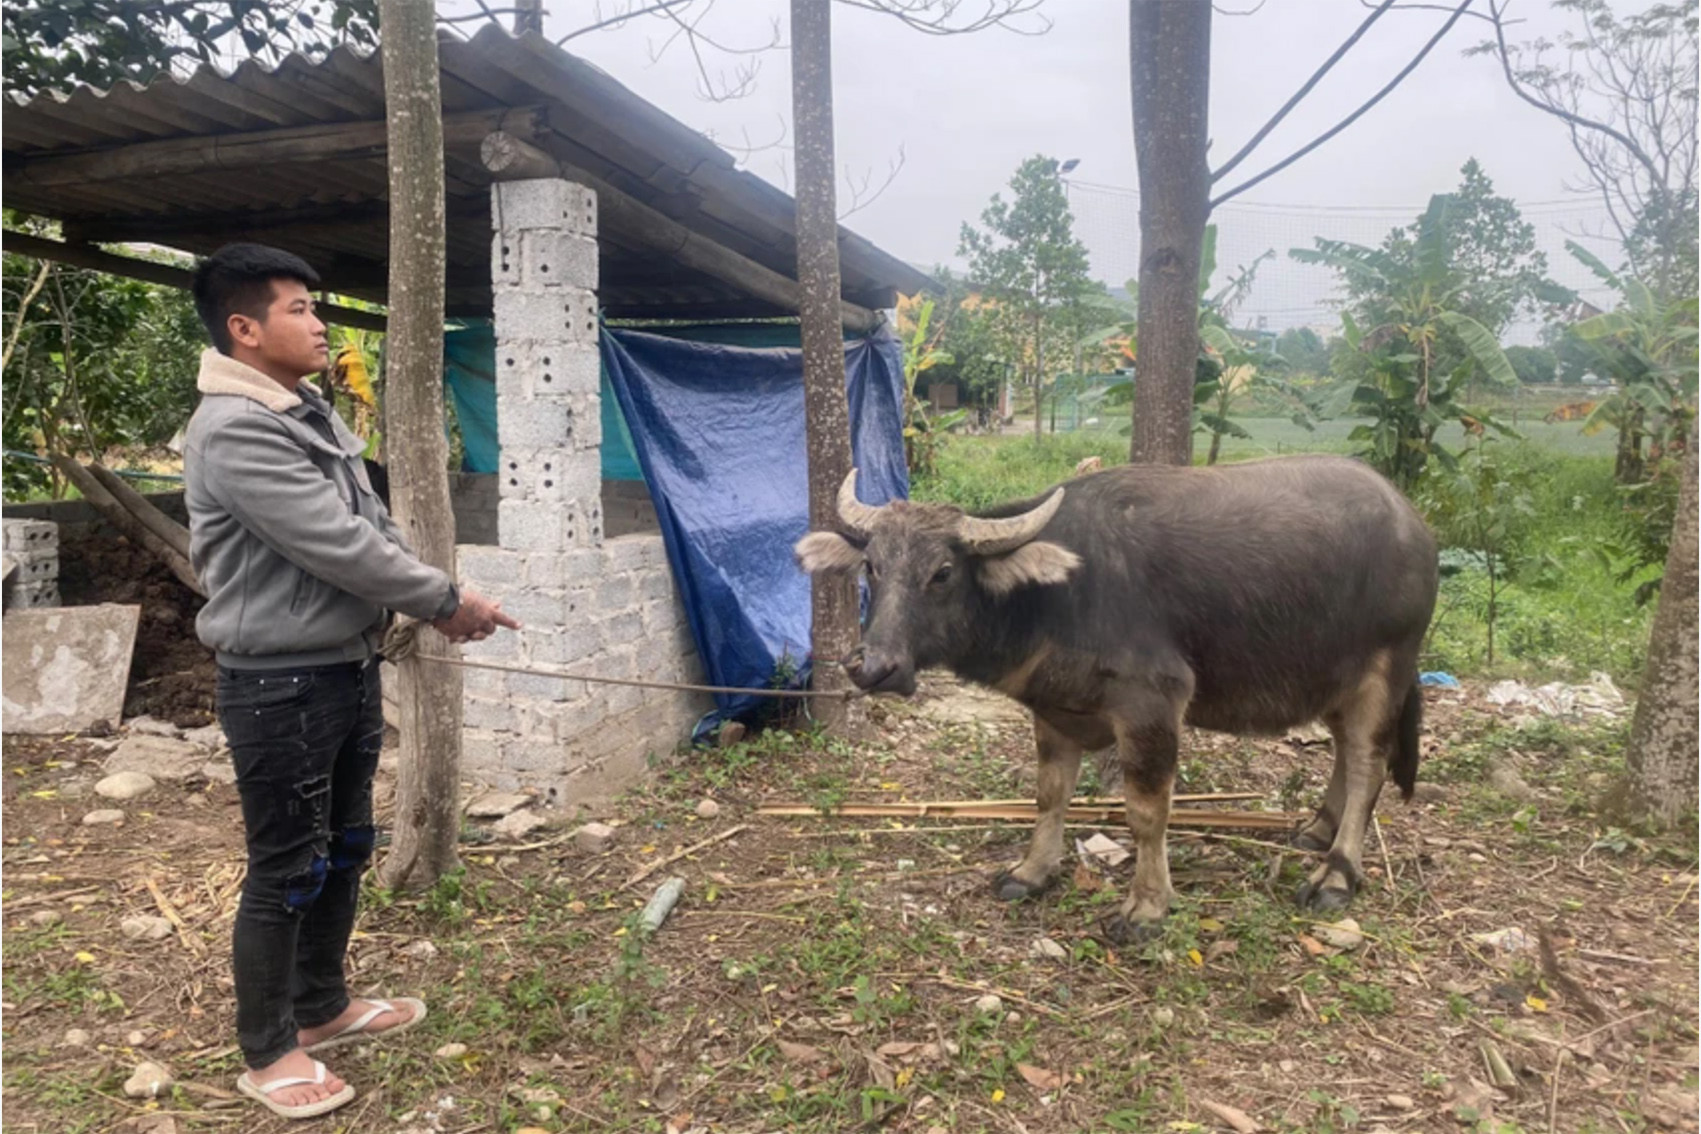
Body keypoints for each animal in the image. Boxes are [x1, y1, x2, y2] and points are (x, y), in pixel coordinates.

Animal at [792, 452, 1435, 938]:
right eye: (872, 567)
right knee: (1344, 752)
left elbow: (1147, 813)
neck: (1059, 595)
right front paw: (1031, 871)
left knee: (1369, 763)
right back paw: (1318, 830)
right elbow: (1050, 795)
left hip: (1386, 672)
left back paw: (1337, 873)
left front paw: (1146, 907)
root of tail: (1413, 523)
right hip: (1335, 679)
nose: (873, 666)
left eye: (943, 573)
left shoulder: (1152, 707)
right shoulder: (1055, 711)